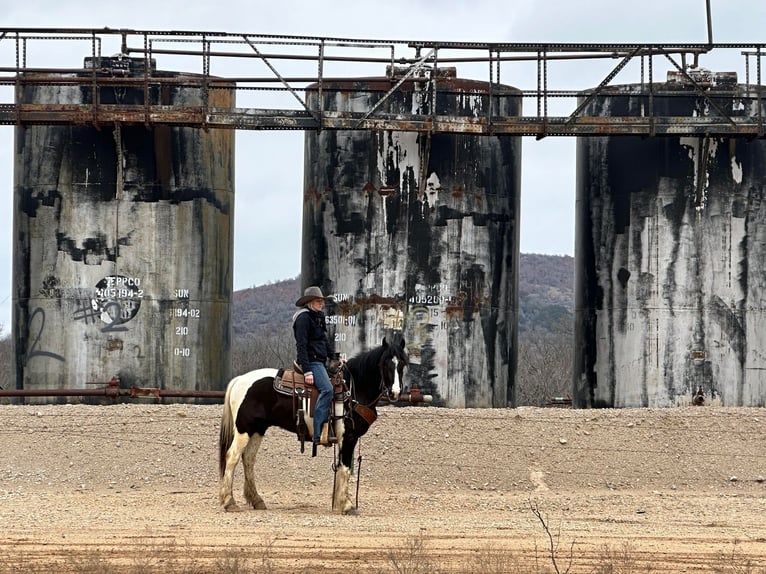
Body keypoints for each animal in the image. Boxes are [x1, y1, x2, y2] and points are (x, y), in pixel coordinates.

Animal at [218, 340, 408, 516]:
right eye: (384, 364)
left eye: (402, 364)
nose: (395, 393)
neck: (352, 390)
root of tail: (239, 379)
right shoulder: (348, 437)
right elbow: (345, 468)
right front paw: (347, 505)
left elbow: (341, 467)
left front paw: (338, 503)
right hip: (244, 430)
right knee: (232, 457)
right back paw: (229, 502)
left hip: (258, 429)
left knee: (248, 459)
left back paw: (257, 500)